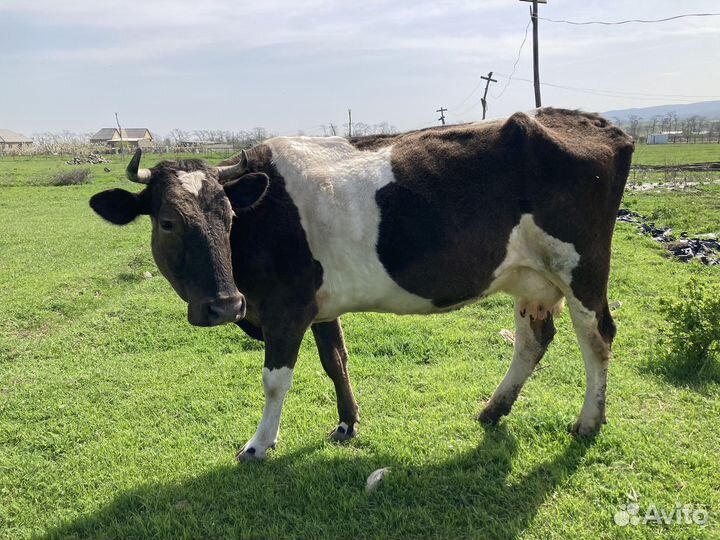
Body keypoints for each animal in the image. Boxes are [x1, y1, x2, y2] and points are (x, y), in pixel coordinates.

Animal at [89, 108, 634, 461]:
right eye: (167, 222)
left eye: (228, 216)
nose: (224, 305)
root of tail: (595, 123)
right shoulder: (319, 306)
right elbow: (337, 362)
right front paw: (348, 423)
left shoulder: (287, 307)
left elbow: (275, 380)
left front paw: (260, 444)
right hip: (530, 276)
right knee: (533, 339)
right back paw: (492, 409)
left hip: (581, 270)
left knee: (598, 338)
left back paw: (589, 421)